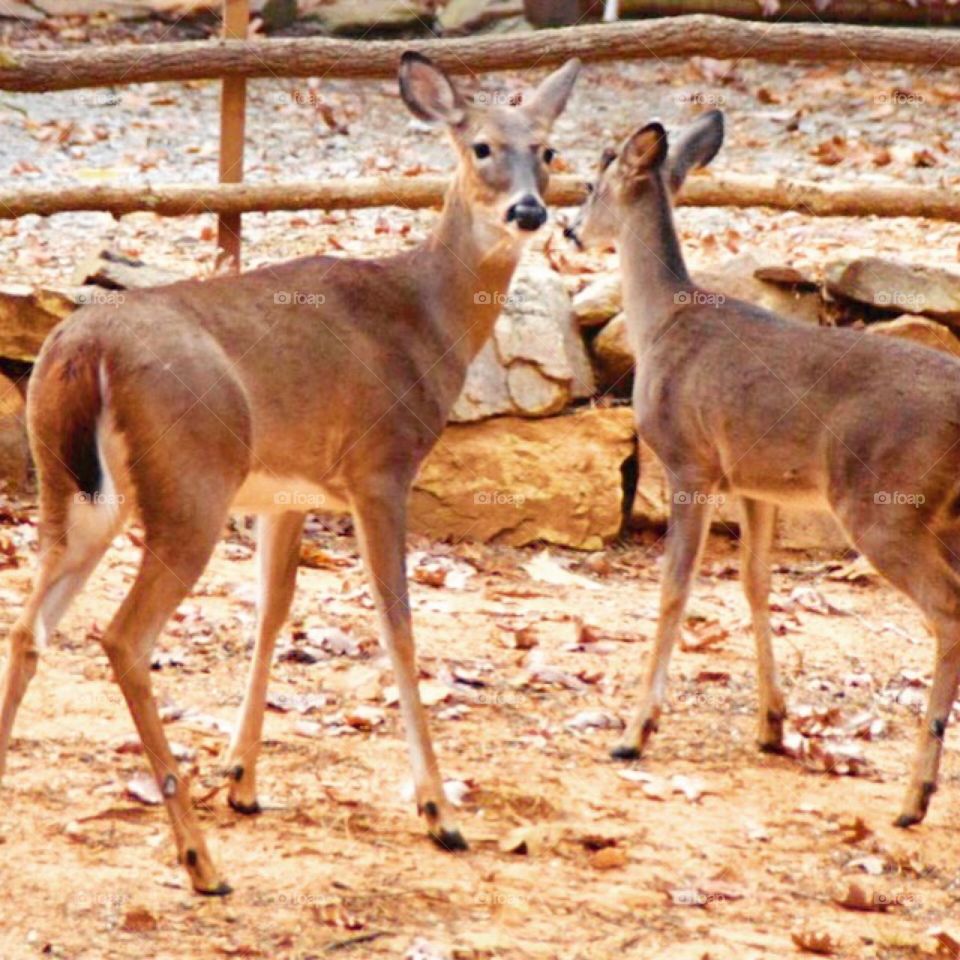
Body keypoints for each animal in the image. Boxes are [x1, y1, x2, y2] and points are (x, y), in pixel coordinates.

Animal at [0, 52, 580, 895]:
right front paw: (440, 812)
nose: (531, 212)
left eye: (547, 149)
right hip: (190, 482)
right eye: (480, 147)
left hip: (70, 489)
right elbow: (397, 623)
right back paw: (200, 860)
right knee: (122, 637)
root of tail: (85, 349)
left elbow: (272, 611)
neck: (428, 318)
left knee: (28, 624)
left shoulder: (286, 491)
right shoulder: (381, 467)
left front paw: (242, 780)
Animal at [566, 109, 960, 829]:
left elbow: (673, 590)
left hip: (885, 506)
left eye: (589, 183)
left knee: (947, 609)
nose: (570, 229)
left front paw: (634, 733)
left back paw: (914, 797)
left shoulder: (689, 461)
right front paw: (772, 725)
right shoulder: (756, 484)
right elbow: (755, 585)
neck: (660, 324)